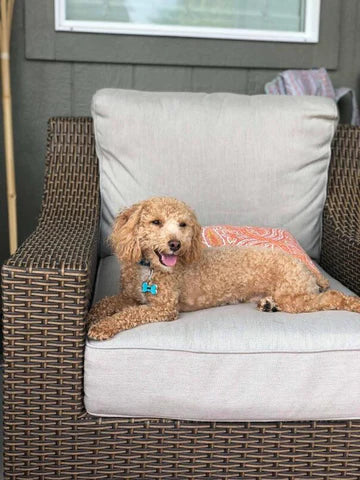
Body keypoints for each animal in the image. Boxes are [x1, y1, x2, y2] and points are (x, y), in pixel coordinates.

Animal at [87, 197, 360, 340]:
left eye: (183, 224)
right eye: (156, 222)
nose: (175, 244)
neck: (150, 270)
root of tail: (306, 267)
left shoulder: (163, 309)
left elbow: (128, 314)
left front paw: (101, 327)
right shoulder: (129, 295)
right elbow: (107, 302)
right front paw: (92, 314)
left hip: (295, 296)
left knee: (332, 297)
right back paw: (268, 304)